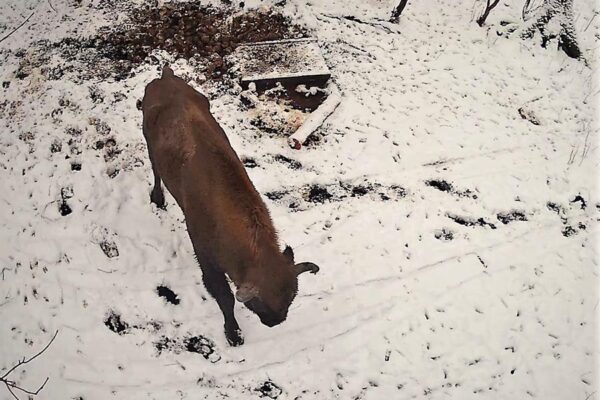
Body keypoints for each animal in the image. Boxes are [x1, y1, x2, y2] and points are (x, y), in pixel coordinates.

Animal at [142, 66, 318, 346]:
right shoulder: (205, 255)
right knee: (156, 170)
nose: (275, 322)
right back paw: (157, 199)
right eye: (258, 304)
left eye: (291, 298)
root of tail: (165, 77)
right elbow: (224, 297)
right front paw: (233, 335)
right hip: (149, 144)